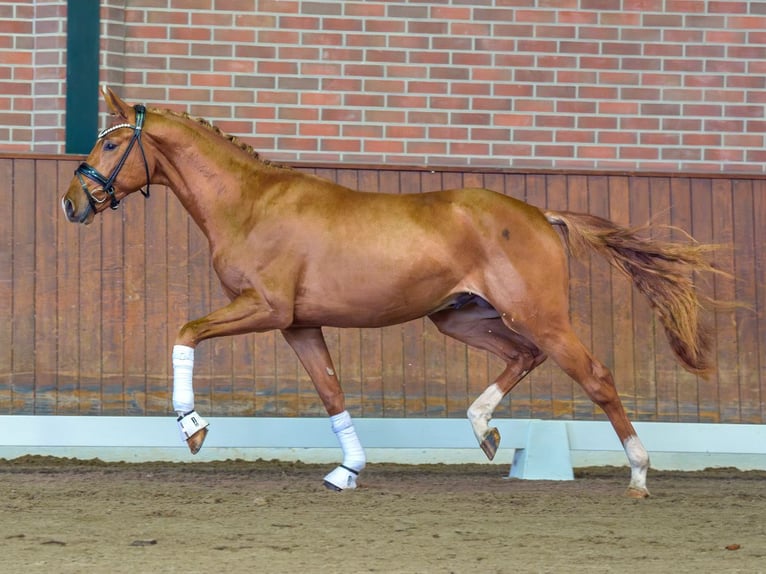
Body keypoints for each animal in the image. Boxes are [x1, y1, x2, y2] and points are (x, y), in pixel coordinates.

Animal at [63, 88, 724, 498]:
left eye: (111, 143)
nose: (71, 203)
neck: (250, 205)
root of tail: (542, 213)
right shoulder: (298, 323)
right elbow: (331, 391)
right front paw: (348, 470)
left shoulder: (265, 309)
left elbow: (184, 332)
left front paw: (192, 428)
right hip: (459, 318)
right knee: (523, 356)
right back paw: (483, 430)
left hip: (540, 314)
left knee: (596, 376)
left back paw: (638, 475)